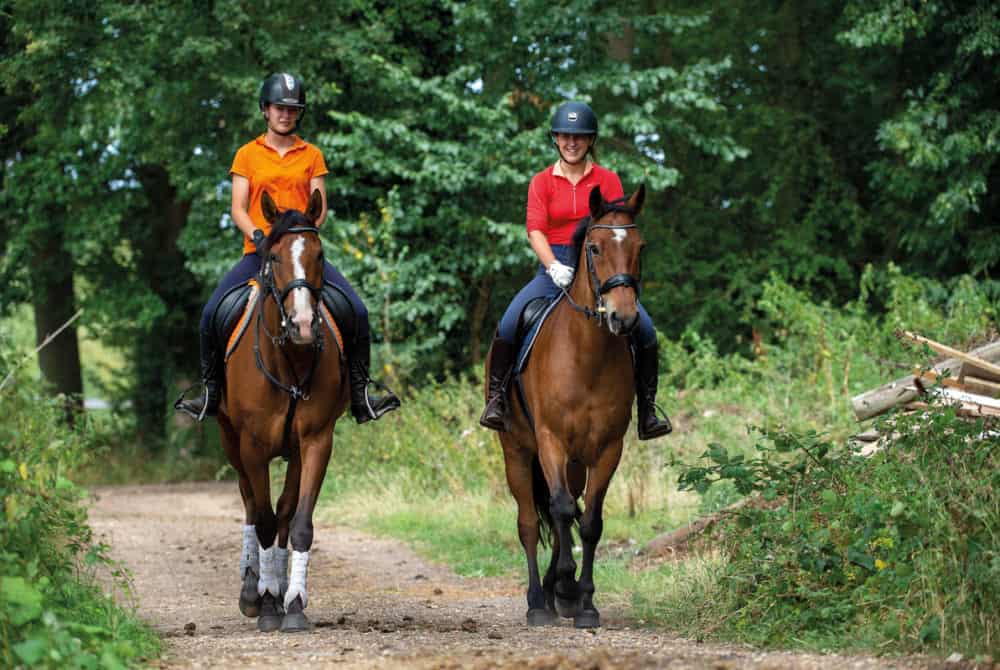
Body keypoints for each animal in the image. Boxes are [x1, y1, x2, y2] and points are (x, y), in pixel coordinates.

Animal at [217, 189, 349, 633]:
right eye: (273, 257)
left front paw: (291, 604)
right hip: (230, 441)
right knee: (250, 505)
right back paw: (251, 590)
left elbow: (298, 522)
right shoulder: (253, 446)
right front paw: (267, 602)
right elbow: (262, 518)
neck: (289, 358)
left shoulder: (316, 441)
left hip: (292, 452)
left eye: (320, 254)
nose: (304, 324)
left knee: (284, 512)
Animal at [490, 184, 648, 629]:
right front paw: (562, 583)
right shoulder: (550, 441)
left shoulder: (609, 448)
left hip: (577, 462)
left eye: (640, 247)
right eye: (593, 248)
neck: (587, 355)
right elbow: (559, 511)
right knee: (530, 521)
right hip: (517, 452)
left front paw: (584, 601)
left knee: (569, 508)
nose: (624, 318)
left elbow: (589, 522)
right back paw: (537, 600)